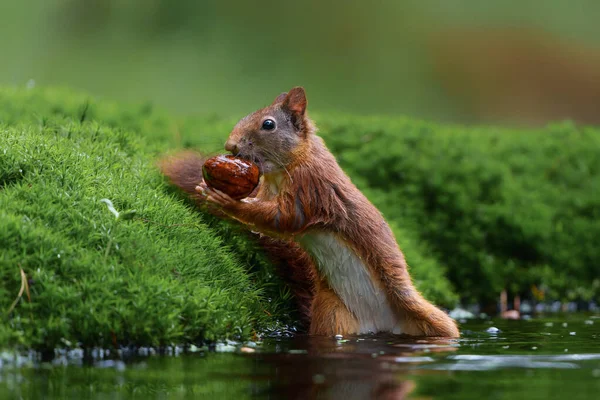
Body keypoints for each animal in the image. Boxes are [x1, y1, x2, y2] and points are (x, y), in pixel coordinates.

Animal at [159, 87, 460, 338]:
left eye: (268, 124)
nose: (230, 146)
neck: (286, 167)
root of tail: (381, 322)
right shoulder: (267, 189)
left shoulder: (310, 188)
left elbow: (285, 220)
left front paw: (225, 201)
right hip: (333, 315)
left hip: (424, 316)